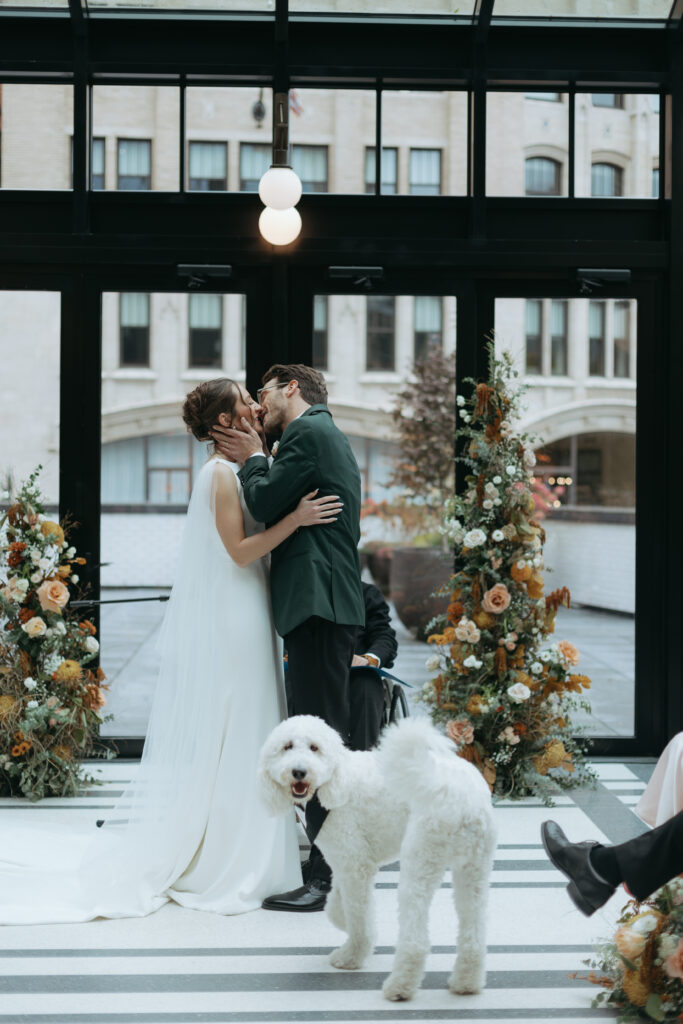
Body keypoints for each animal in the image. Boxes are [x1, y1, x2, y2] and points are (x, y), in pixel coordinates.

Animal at [255, 712, 497, 999]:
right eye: (287, 747)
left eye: (314, 748)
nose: (299, 771)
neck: (334, 781)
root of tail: (457, 794)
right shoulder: (348, 863)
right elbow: (337, 904)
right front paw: (344, 923)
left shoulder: (354, 864)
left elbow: (358, 916)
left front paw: (352, 955)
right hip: (474, 869)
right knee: (474, 932)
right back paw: (466, 983)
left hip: (420, 862)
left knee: (416, 939)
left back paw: (400, 987)